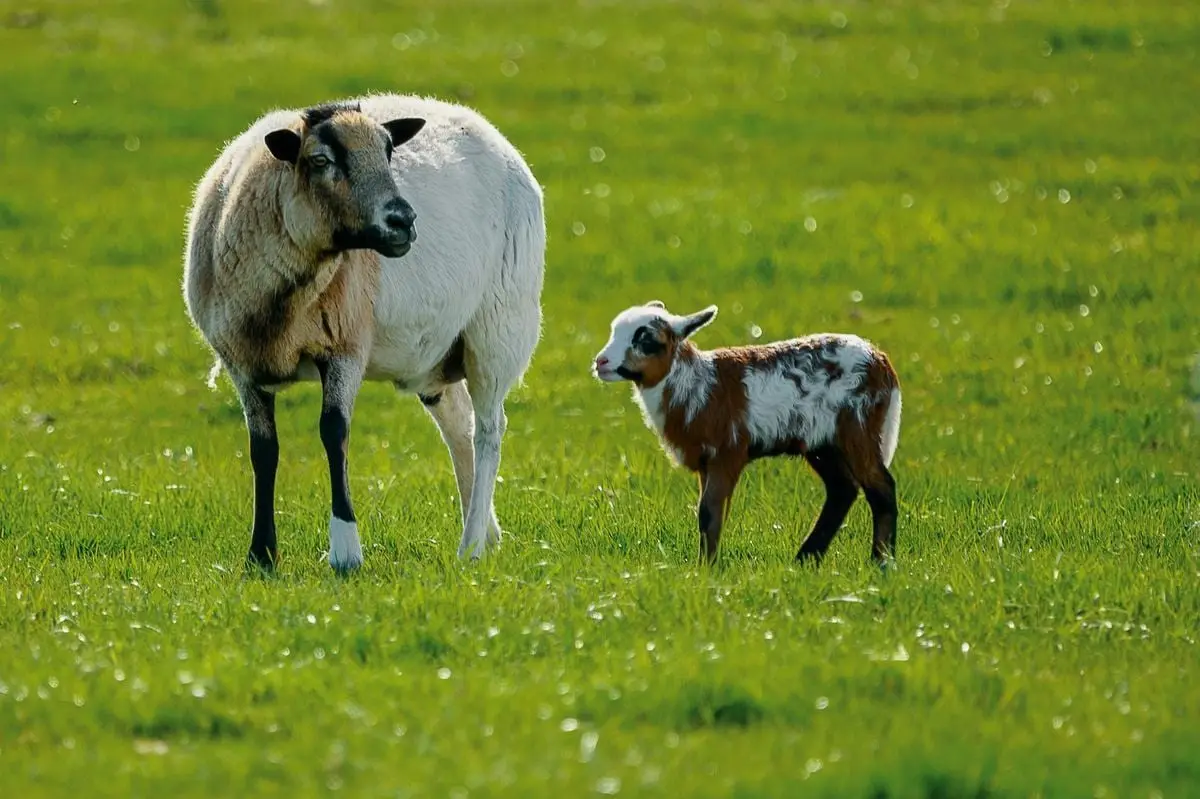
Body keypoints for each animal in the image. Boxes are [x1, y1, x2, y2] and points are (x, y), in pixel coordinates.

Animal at [182, 94, 545, 572]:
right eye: (320, 160)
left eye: (389, 152)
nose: (404, 221)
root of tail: (491, 133)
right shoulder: (241, 363)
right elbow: (263, 451)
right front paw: (261, 556)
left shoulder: (345, 346)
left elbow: (334, 432)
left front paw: (345, 552)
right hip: (439, 353)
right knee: (459, 424)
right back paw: (485, 532)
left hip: (499, 327)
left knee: (489, 431)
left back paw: (469, 547)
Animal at [592, 301, 901, 566]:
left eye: (646, 341)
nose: (601, 362)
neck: (696, 382)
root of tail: (882, 362)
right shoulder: (706, 462)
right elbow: (708, 513)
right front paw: (706, 565)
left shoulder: (726, 453)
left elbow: (709, 512)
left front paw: (706, 570)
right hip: (822, 443)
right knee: (842, 489)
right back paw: (805, 560)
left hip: (858, 427)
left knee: (881, 488)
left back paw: (881, 562)